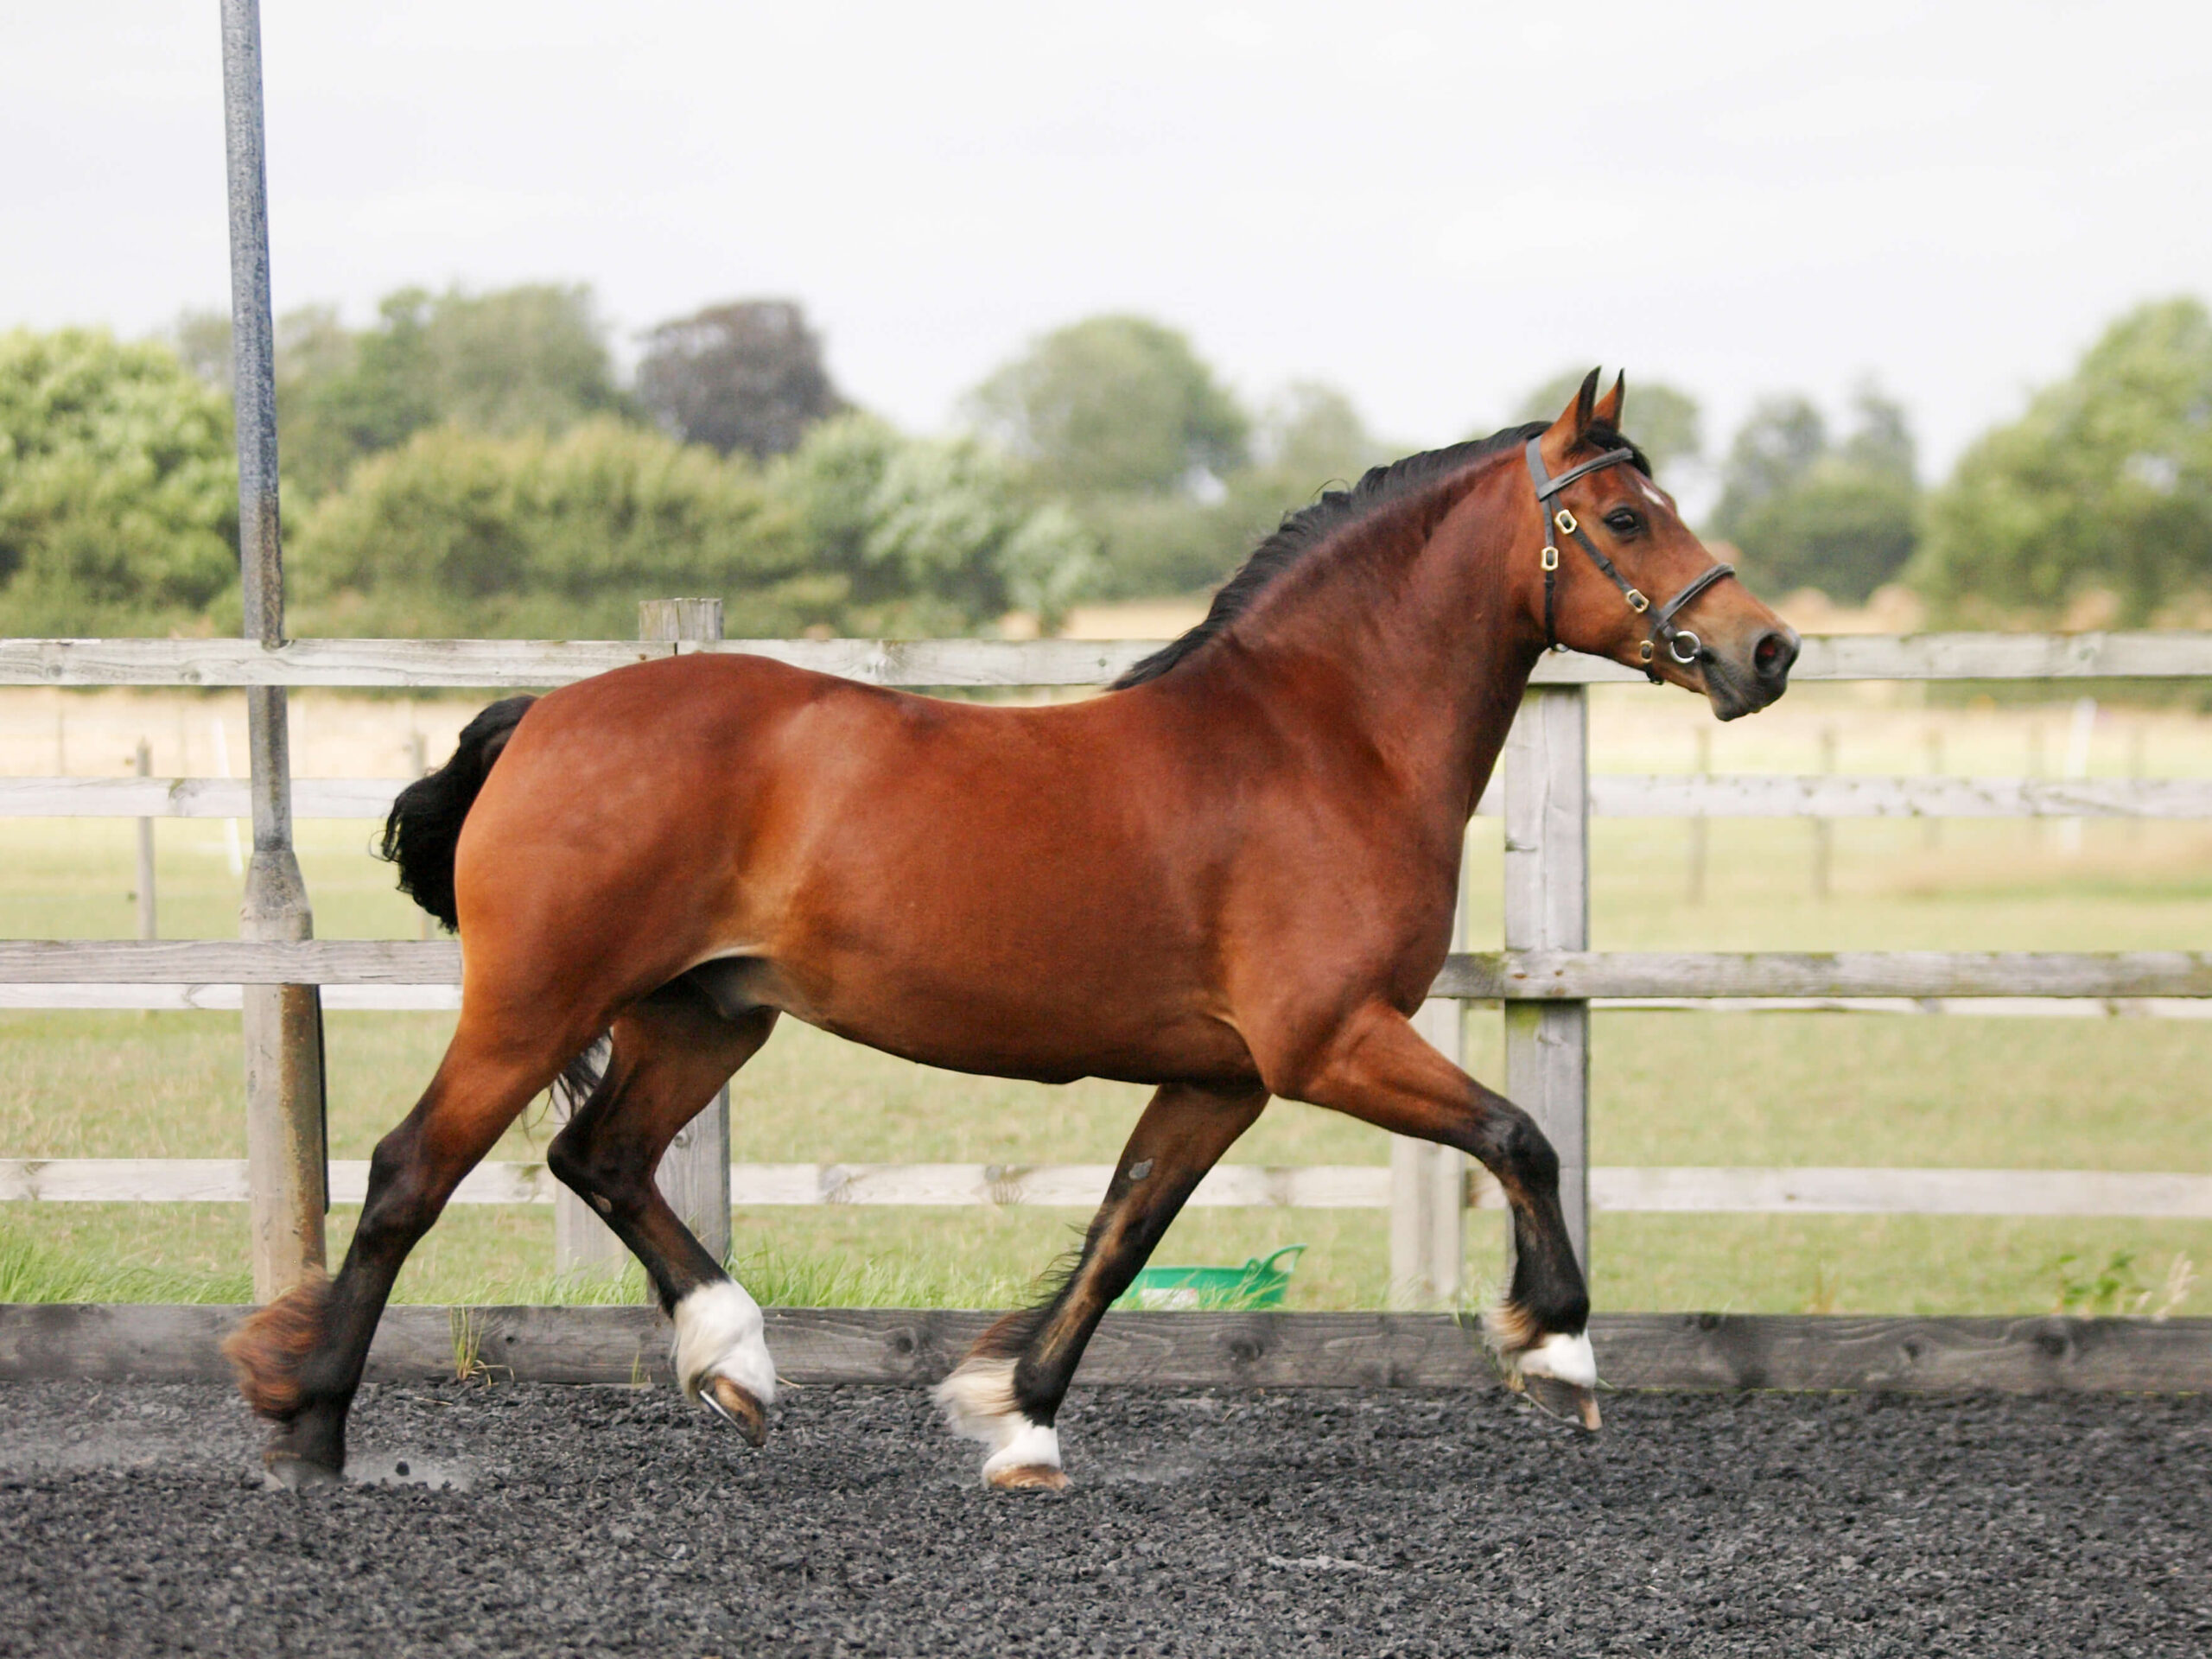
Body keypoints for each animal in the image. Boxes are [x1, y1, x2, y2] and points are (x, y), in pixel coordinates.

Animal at [226, 370, 1798, 1490]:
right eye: (1626, 517)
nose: (1765, 650)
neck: (1319, 742)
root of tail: (546, 714)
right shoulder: (1328, 1044)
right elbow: (1521, 1139)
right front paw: (1560, 1351)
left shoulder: (1221, 1076)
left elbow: (1123, 1228)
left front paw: (1019, 1422)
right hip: (537, 1003)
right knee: (411, 1173)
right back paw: (313, 1433)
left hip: (706, 1014)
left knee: (599, 1160)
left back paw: (732, 1362)